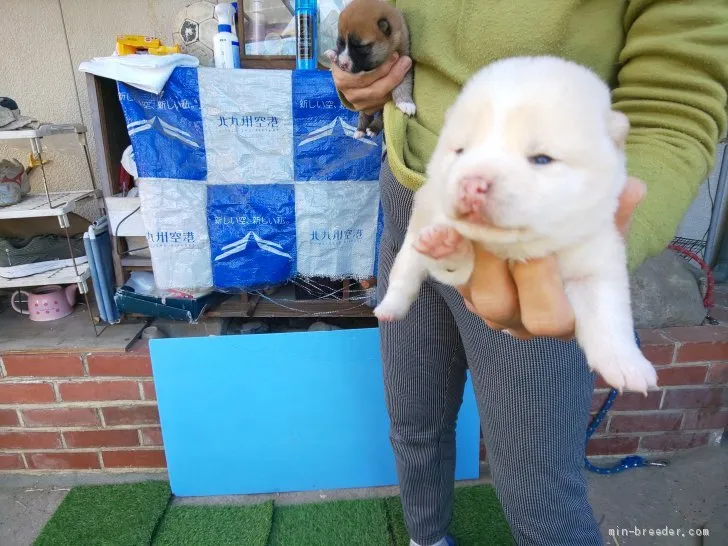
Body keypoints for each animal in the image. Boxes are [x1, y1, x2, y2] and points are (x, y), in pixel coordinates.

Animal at [326, 0, 416, 138]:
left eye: (360, 47)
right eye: (340, 43)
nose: (343, 65)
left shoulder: (404, 61)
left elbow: (403, 84)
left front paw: (405, 102)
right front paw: (333, 54)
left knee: (381, 116)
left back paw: (373, 128)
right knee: (364, 114)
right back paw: (360, 129)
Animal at [376, 55, 660, 394]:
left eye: (542, 159)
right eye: (461, 151)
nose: (472, 184)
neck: (515, 248)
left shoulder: (595, 259)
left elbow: (608, 315)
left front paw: (627, 365)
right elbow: (456, 260)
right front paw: (445, 244)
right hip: (414, 230)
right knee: (403, 275)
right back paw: (389, 308)